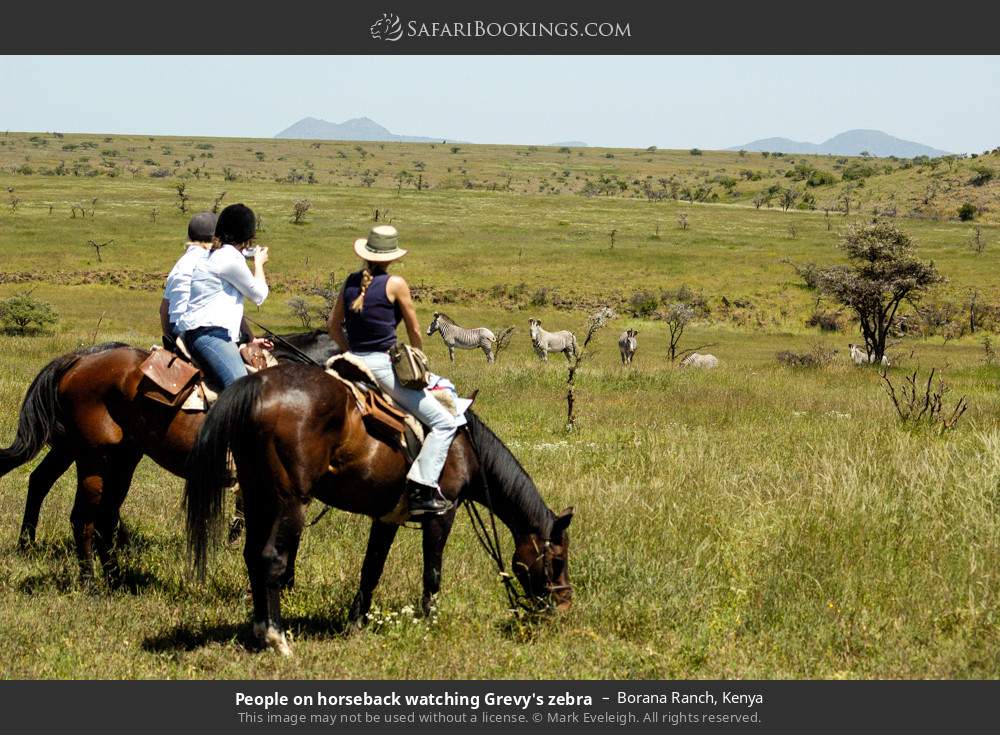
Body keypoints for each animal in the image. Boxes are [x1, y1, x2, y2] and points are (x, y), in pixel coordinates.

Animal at [0, 332, 338, 580]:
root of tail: (77, 361)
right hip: (91, 456)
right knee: (82, 514)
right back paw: (89, 579)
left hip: (106, 455)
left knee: (53, 487)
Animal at [184, 366, 576, 660]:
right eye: (557, 559)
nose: (564, 605)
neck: (465, 447)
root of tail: (258, 384)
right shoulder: (442, 514)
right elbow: (432, 573)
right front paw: (430, 623)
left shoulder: (387, 518)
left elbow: (371, 569)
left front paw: (355, 623)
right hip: (289, 501)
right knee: (271, 560)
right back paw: (277, 638)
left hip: (257, 496)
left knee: (252, 556)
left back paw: (257, 630)